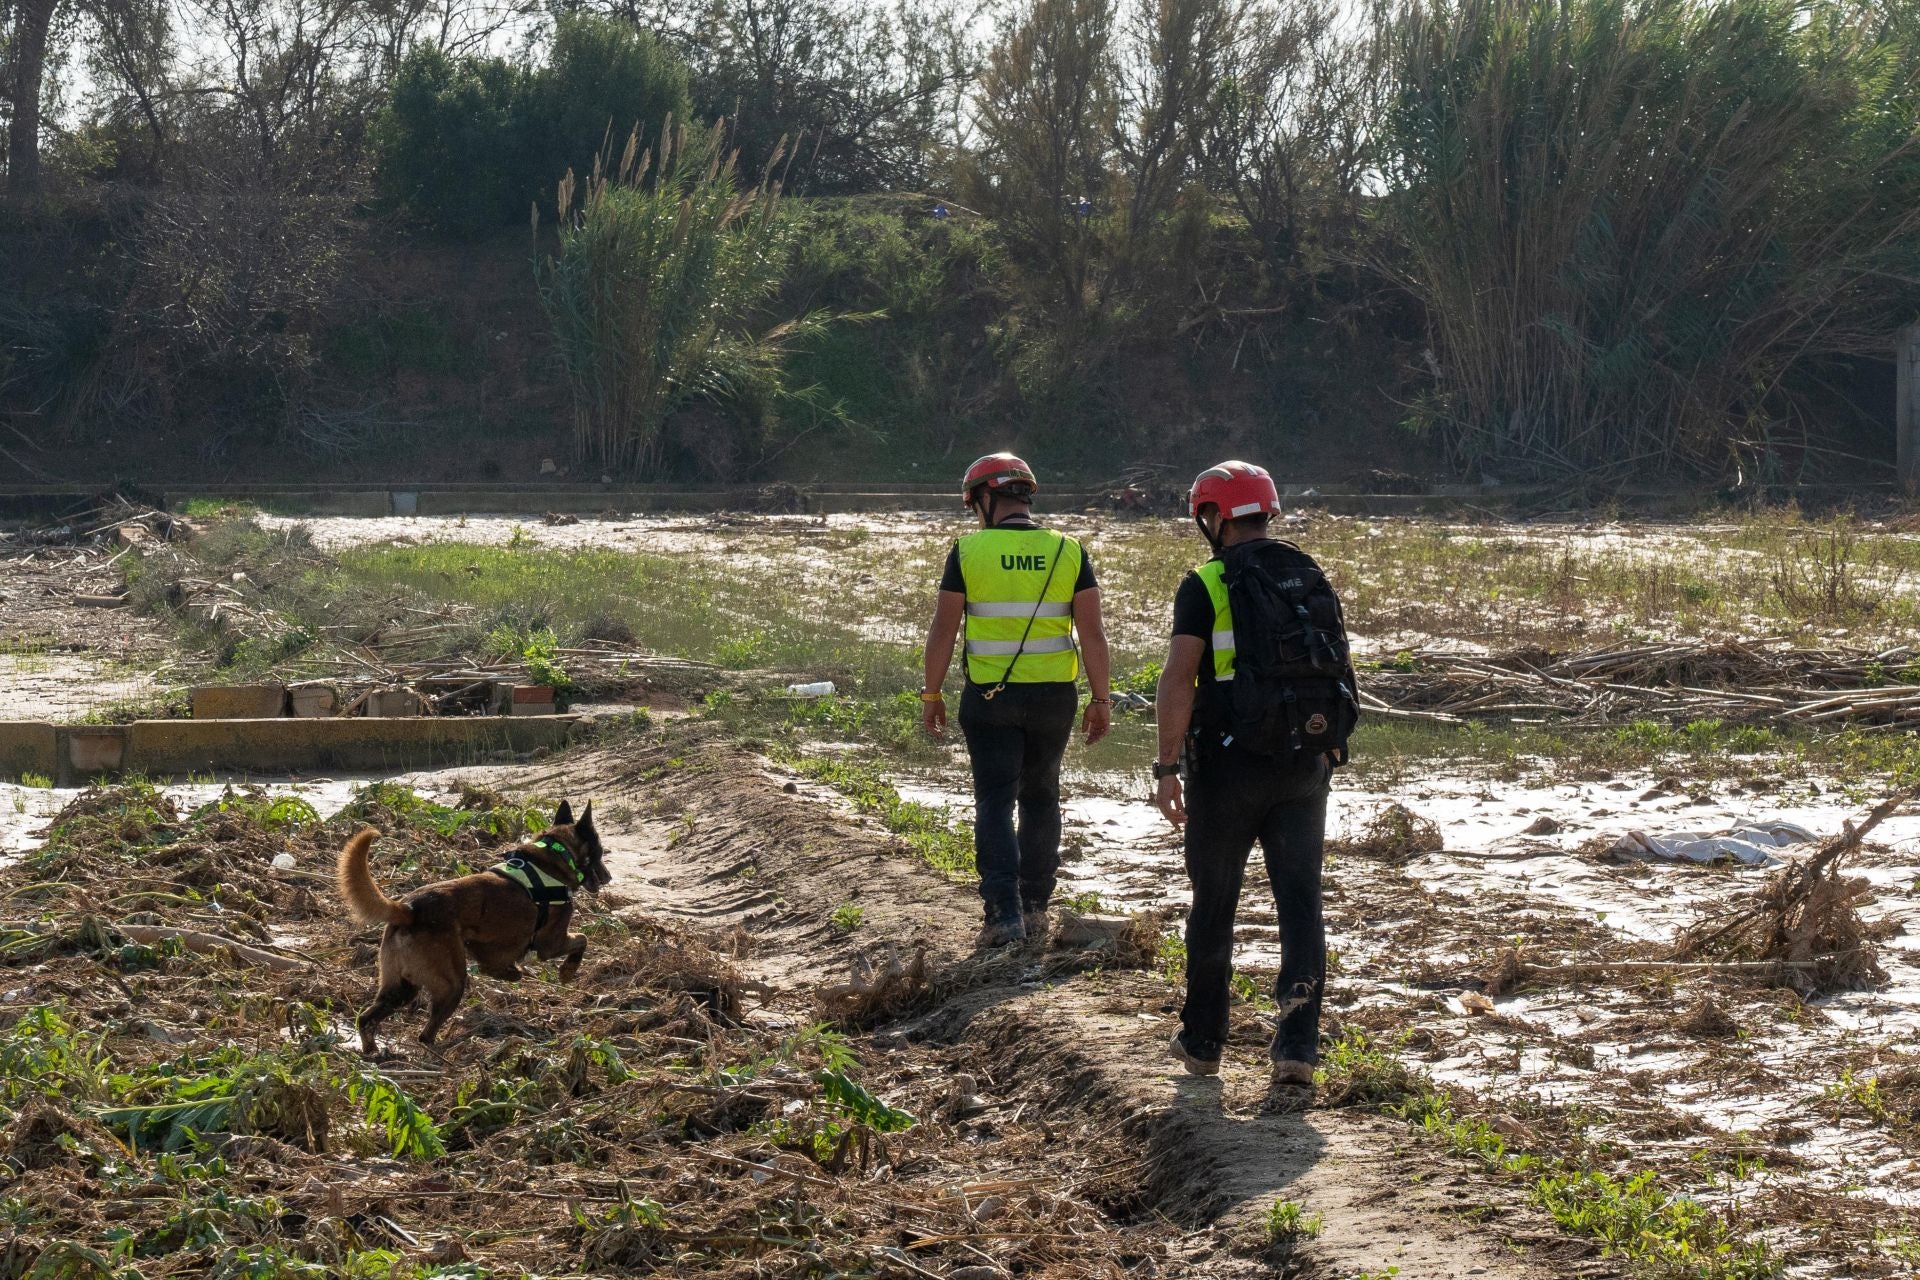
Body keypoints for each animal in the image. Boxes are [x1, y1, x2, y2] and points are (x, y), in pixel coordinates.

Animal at [336, 794, 606, 1059]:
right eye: (601, 852)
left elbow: (500, 967)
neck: (556, 855)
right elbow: (582, 940)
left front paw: (511, 973)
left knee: (367, 1019)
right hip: (451, 984)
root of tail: (408, 909)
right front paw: (568, 971)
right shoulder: (550, 944)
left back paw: (372, 1052)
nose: (608, 876)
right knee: (425, 1034)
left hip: (401, 987)